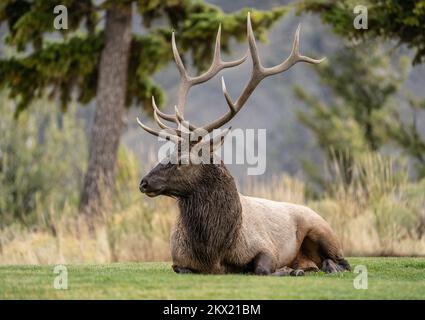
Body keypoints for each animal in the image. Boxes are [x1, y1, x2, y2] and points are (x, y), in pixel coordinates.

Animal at [137, 14, 350, 276]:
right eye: (165, 152)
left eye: (182, 160)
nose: (144, 182)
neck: (212, 252)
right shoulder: (177, 260)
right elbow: (182, 269)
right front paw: (290, 269)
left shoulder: (265, 247)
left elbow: (262, 268)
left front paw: (284, 270)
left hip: (323, 229)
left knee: (343, 262)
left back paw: (317, 267)